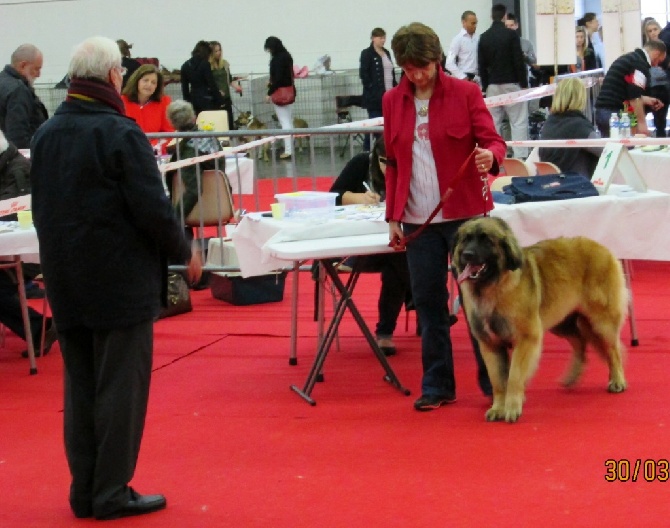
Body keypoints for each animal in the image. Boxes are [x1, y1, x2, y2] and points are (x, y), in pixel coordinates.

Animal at [452, 217, 632, 422]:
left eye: (486, 241)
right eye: (466, 239)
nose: (467, 255)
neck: (494, 286)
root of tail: (603, 248)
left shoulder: (526, 338)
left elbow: (514, 376)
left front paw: (511, 408)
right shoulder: (490, 344)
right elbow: (497, 380)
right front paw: (498, 407)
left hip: (601, 322)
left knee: (613, 351)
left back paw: (617, 381)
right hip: (562, 321)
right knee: (580, 343)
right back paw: (572, 377)